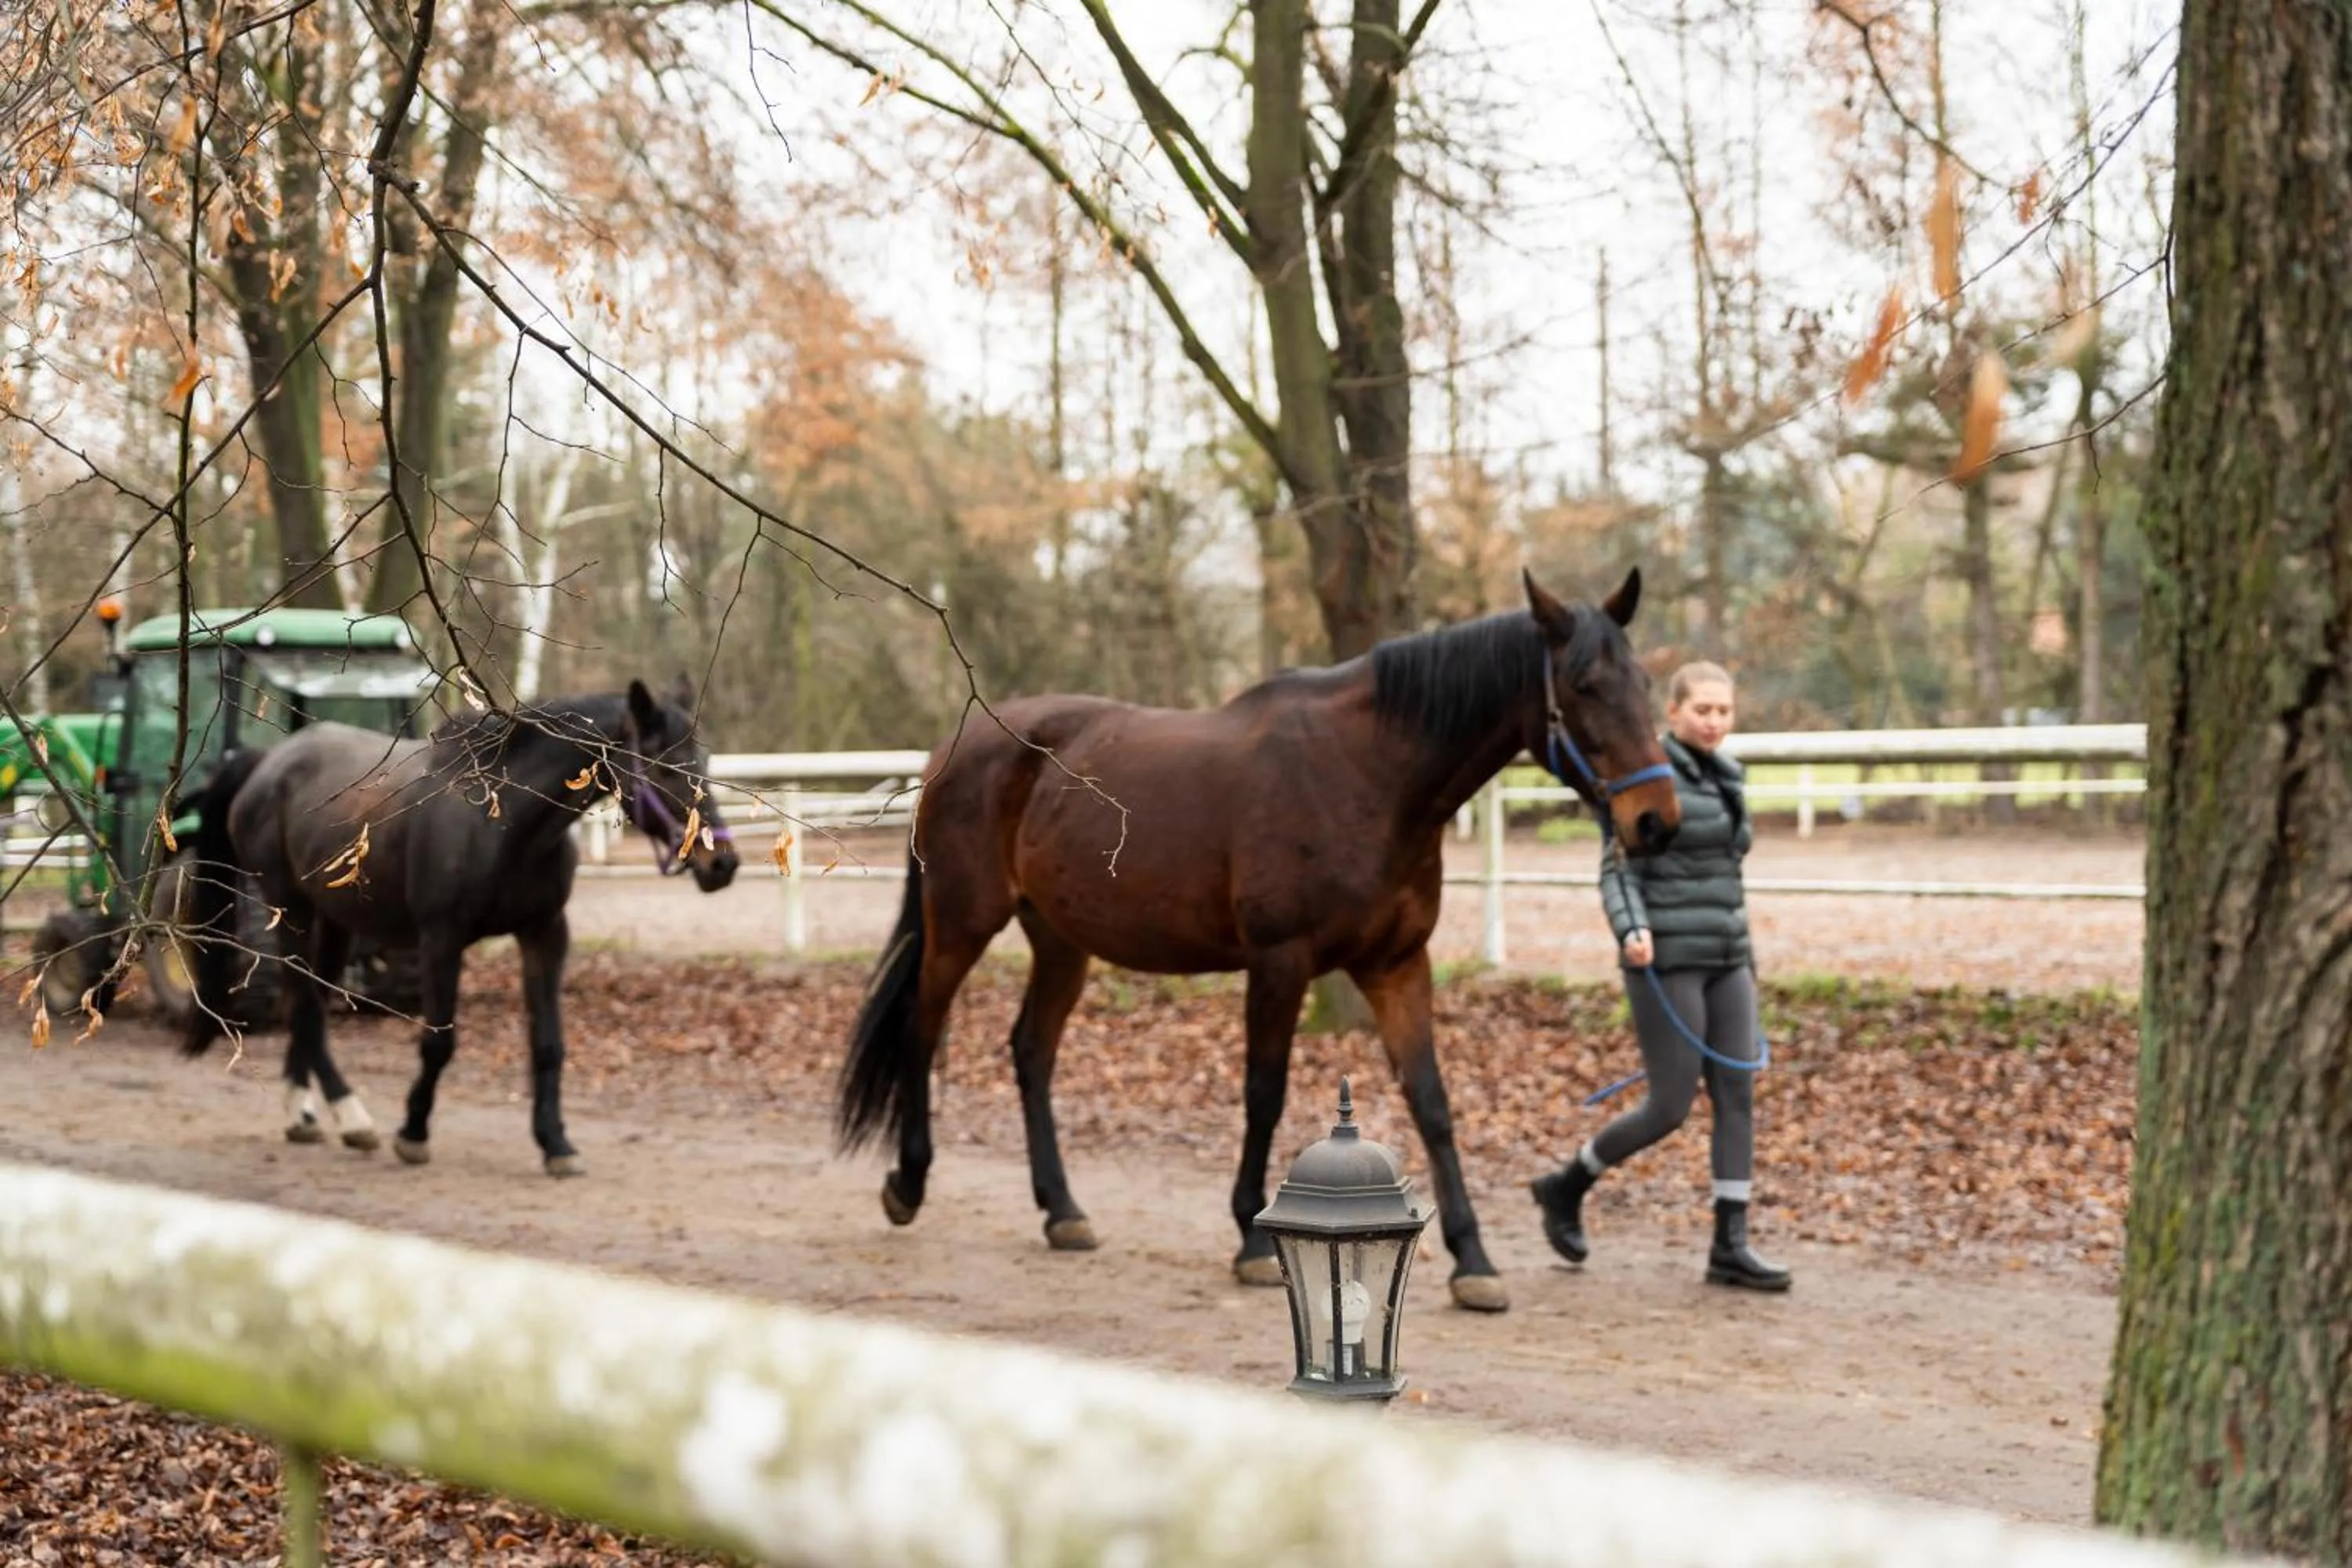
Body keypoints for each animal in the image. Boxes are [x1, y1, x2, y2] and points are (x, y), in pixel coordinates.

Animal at [180, 677, 740, 1176]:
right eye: (665, 765)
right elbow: (439, 1043)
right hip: (289, 908)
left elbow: (548, 1045)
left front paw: (555, 1143)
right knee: (305, 1007)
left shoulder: (544, 935)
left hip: (334, 920)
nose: (723, 864)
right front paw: (413, 1133)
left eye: (704, 761)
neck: (501, 818)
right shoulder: (441, 942)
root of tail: (265, 762)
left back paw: (305, 1114)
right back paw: (353, 1117)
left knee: (309, 1003)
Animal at [836, 568, 1679, 1313]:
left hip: (1061, 941)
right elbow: (1264, 1094)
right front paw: (1249, 1237)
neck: (1368, 773)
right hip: (963, 922)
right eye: (1584, 685)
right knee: (923, 1030)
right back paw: (907, 1184)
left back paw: (1063, 1211)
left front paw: (1474, 1262)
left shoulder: (1398, 965)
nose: (1656, 823)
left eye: (1644, 682)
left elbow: (1432, 1103)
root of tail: (959, 743)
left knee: (1031, 1051)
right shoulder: (1280, 961)